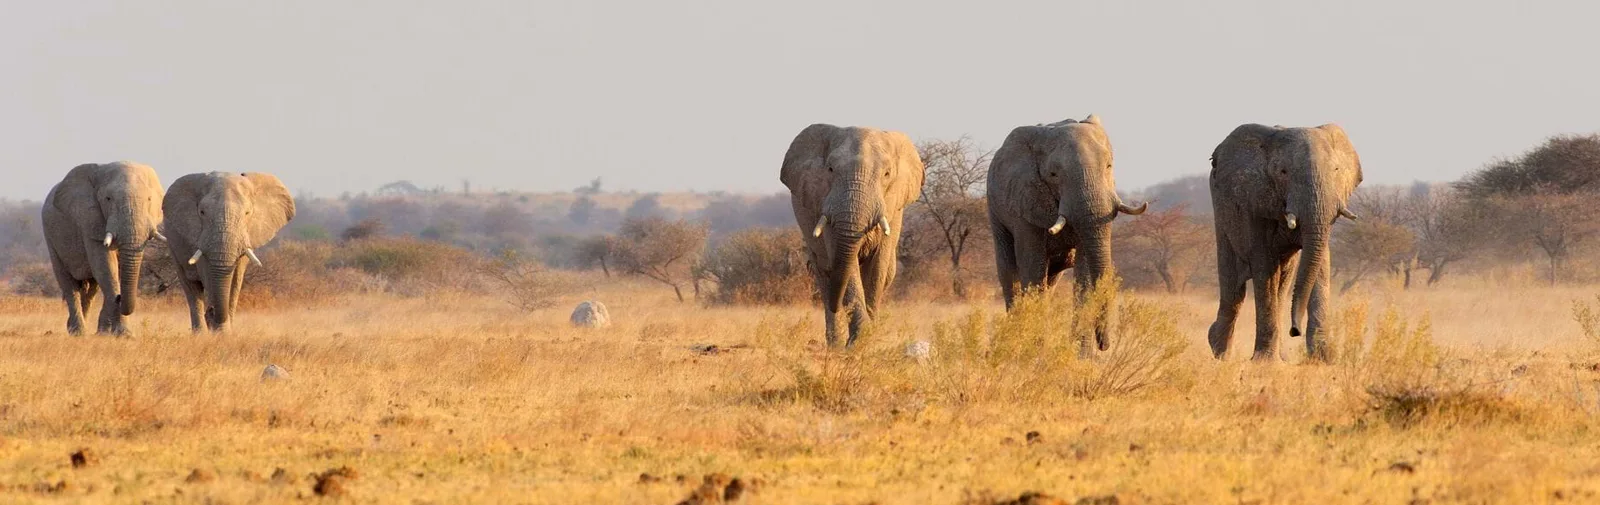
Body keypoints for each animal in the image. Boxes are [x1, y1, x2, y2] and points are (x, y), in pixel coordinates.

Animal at [41, 162, 166, 335]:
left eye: (149, 199)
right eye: (108, 199)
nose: (119, 297)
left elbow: (113, 271)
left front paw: (108, 333)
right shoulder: (89, 220)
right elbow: (106, 267)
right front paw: (124, 335)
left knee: (91, 288)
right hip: (50, 236)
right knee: (68, 283)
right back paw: (78, 332)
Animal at [162, 172, 295, 332]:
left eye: (247, 213)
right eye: (202, 212)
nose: (212, 312)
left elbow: (236, 279)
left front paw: (224, 332)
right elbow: (207, 274)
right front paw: (216, 327)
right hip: (172, 242)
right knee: (191, 287)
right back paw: (200, 334)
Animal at [780, 124, 925, 348]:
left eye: (887, 174)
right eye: (830, 169)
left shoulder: (893, 210)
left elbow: (877, 267)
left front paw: (868, 340)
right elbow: (846, 266)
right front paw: (857, 343)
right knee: (824, 275)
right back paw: (835, 345)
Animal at [986, 114, 1146, 351]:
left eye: (1109, 165)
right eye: (1053, 174)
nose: (1104, 345)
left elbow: (1084, 275)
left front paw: (1081, 355)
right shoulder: (1024, 203)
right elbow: (1032, 269)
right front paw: (1036, 351)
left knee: (1051, 279)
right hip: (996, 213)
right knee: (1010, 274)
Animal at [1207, 123, 1363, 361]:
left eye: (1336, 170)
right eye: (1283, 172)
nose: (1294, 331)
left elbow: (1320, 263)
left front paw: (1324, 358)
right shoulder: (1254, 202)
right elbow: (1263, 267)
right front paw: (1264, 362)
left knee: (1282, 284)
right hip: (1221, 213)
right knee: (1234, 289)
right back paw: (1220, 352)